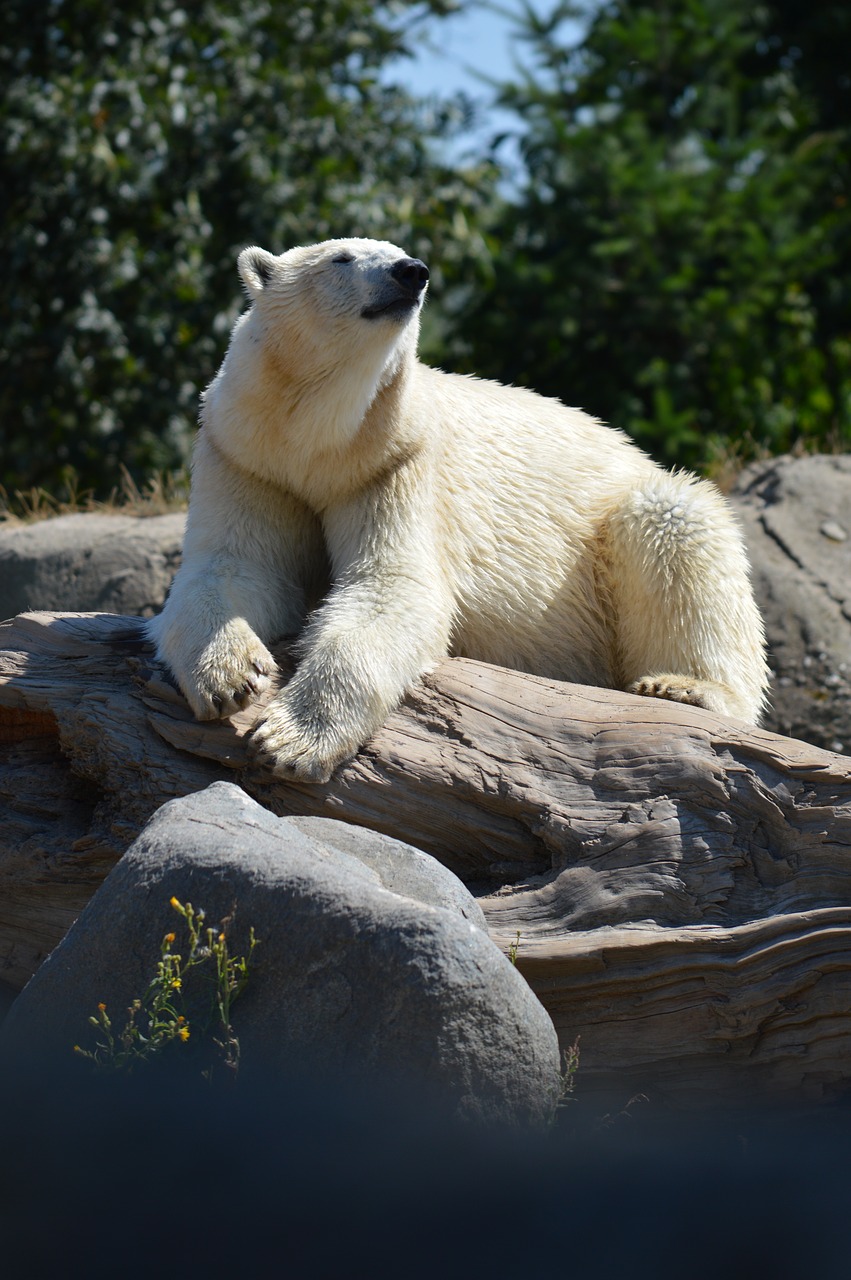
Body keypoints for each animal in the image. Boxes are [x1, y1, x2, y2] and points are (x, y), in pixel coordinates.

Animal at [147, 235, 767, 783]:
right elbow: (235, 566)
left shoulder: (395, 461)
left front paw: (290, 739)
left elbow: (392, 584)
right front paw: (229, 677)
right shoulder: (249, 457)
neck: (320, 440)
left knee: (675, 525)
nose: (410, 272)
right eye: (342, 257)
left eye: (400, 250)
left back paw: (683, 686)